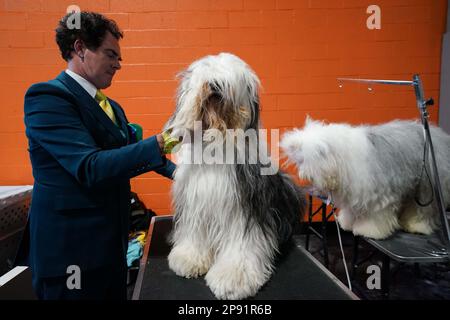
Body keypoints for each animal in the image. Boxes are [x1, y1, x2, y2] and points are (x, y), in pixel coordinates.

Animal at [163, 52, 304, 300]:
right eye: (207, 71)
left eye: (230, 79)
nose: (215, 85)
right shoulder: (196, 204)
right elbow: (194, 234)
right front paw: (189, 258)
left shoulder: (245, 209)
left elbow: (242, 246)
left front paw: (233, 280)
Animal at [282, 117, 450, 240]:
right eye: (300, 161)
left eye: (307, 160)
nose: (304, 176)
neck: (342, 160)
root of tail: (438, 135)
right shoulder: (353, 194)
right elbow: (351, 210)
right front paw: (347, 223)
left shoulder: (378, 195)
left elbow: (375, 216)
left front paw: (368, 231)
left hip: (427, 188)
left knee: (424, 209)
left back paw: (417, 226)